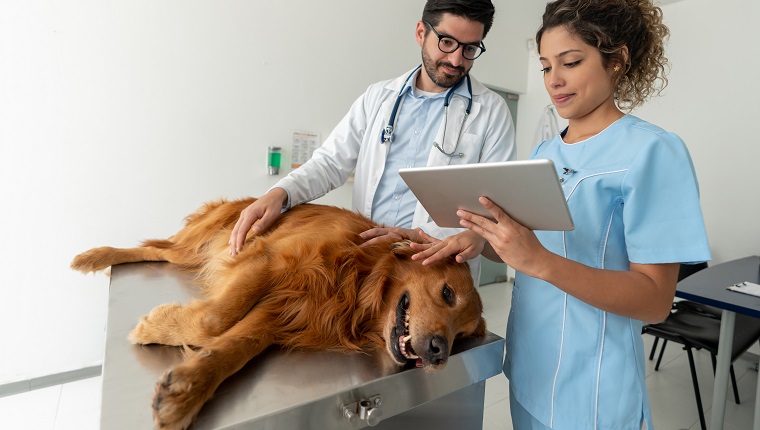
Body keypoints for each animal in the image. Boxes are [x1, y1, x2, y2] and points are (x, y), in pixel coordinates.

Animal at [72, 199, 486, 430]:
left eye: (462, 336)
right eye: (447, 293)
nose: (440, 353)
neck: (360, 282)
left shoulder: (283, 314)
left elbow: (234, 348)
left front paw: (184, 393)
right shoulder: (268, 261)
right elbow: (214, 319)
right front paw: (156, 325)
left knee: (160, 251)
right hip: (211, 237)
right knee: (157, 248)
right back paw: (97, 256)